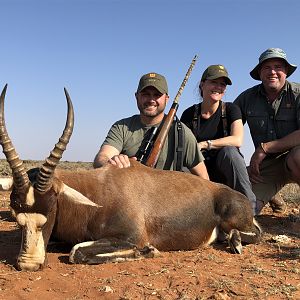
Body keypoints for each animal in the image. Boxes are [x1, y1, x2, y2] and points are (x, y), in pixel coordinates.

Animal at [0, 84, 262, 272]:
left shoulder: (131, 236)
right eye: (15, 214)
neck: (96, 194)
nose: (28, 264)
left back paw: (235, 241)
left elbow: (77, 252)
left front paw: (148, 251)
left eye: (51, 207)